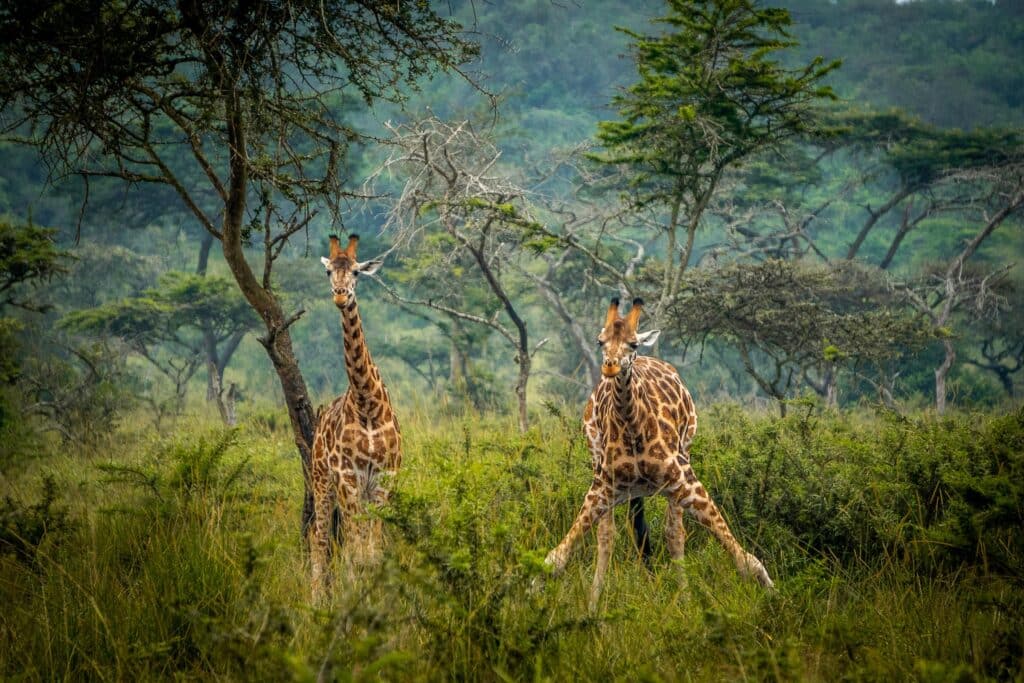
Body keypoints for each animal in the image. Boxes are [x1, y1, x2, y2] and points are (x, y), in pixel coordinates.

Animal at [309, 234, 402, 600]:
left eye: (357, 273)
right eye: (328, 272)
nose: (339, 294)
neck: (367, 404)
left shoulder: (384, 477)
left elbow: (373, 550)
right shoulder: (347, 476)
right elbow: (356, 549)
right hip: (321, 479)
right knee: (319, 536)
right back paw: (316, 600)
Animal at [544, 297, 773, 608]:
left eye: (633, 344)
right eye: (600, 341)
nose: (610, 367)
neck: (632, 425)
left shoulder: (684, 479)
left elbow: (742, 558)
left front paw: (772, 593)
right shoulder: (603, 485)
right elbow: (558, 557)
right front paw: (581, 604)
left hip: (683, 458)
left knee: (673, 533)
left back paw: (685, 598)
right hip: (601, 465)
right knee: (609, 534)